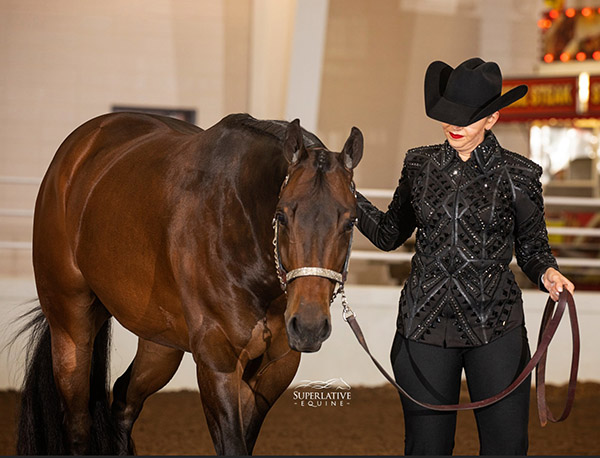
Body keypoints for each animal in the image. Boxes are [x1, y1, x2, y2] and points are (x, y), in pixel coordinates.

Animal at [18, 112, 364, 454]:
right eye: (281, 216)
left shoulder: (276, 368)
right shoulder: (217, 362)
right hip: (70, 326)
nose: (308, 326)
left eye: (350, 222)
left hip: (160, 342)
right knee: (78, 425)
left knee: (124, 403)